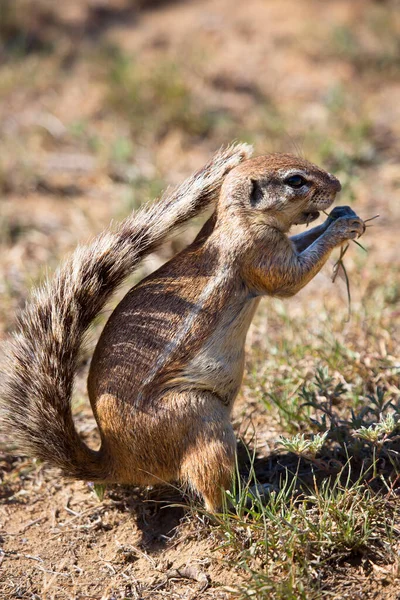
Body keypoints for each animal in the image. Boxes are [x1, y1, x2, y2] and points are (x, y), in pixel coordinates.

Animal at [0, 142, 364, 510]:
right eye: (295, 180)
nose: (337, 185)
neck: (236, 218)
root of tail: (116, 459)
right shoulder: (260, 252)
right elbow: (290, 280)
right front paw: (342, 228)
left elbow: (304, 238)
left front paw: (341, 214)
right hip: (201, 416)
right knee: (213, 495)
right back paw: (256, 496)